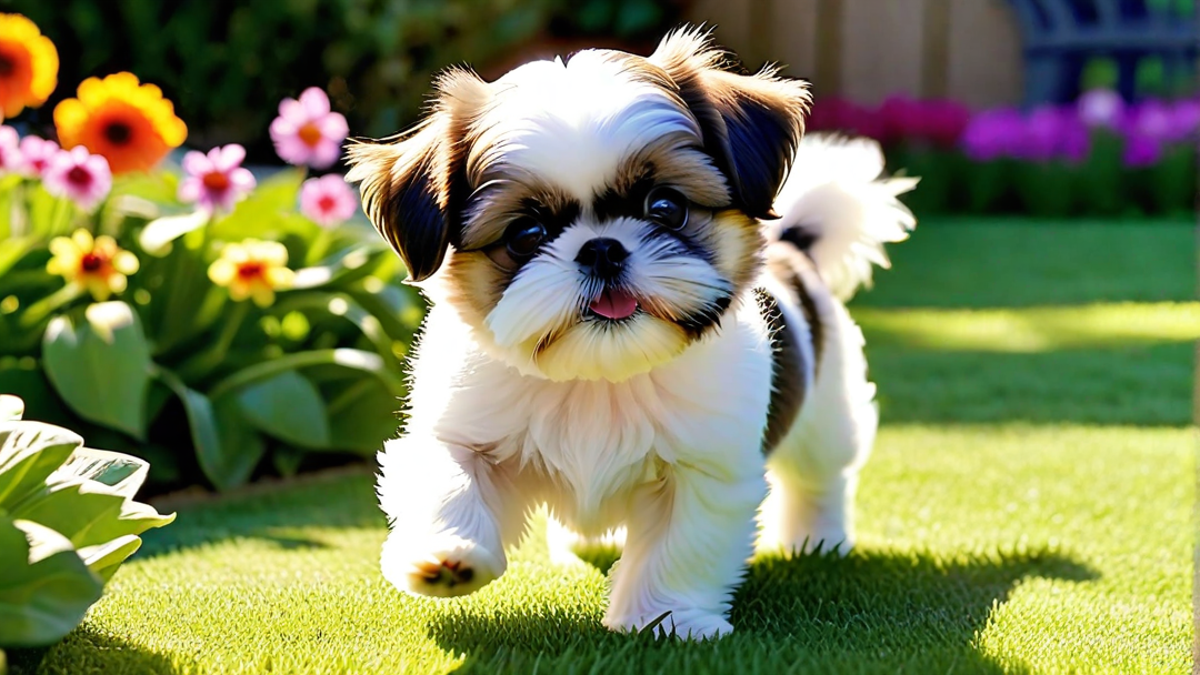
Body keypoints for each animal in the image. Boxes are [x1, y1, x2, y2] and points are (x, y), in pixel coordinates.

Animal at [348, 26, 916, 634]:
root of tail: (794, 246)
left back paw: (817, 539)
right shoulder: (462, 423)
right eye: (526, 233)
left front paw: (667, 619)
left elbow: (681, 544)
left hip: (827, 403)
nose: (601, 249)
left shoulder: (705, 467)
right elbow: (447, 475)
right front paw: (447, 555)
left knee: (820, 473)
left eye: (665, 207)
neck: (601, 376)